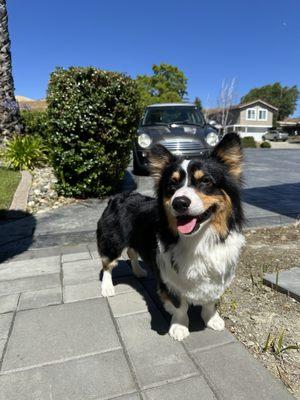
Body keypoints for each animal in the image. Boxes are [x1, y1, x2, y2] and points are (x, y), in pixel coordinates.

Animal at [97, 133, 245, 340]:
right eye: (171, 185)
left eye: (205, 181)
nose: (179, 202)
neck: (199, 239)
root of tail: (117, 197)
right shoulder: (168, 276)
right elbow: (179, 305)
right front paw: (179, 328)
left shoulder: (218, 272)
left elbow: (210, 301)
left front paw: (212, 319)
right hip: (112, 242)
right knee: (108, 265)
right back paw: (107, 287)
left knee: (133, 253)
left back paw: (139, 271)